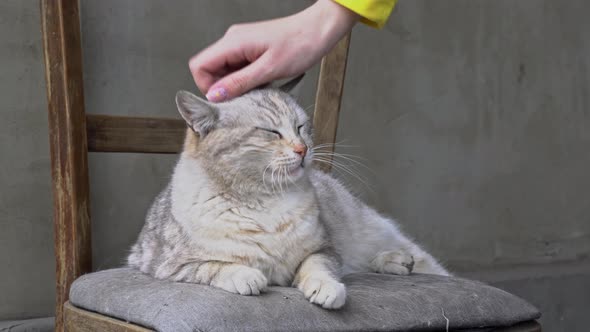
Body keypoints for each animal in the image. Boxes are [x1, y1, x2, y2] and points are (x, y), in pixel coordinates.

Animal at [128, 76, 448, 310]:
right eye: (271, 132)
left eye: (300, 127)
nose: (302, 149)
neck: (263, 199)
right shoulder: (165, 265)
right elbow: (216, 266)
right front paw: (247, 276)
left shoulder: (324, 249)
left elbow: (318, 267)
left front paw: (327, 288)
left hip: (374, 233)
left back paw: (398, 260)